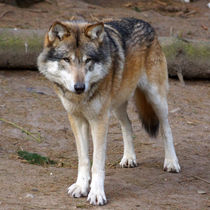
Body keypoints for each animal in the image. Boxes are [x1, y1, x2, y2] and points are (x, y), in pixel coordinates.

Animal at [37, 17, 180, 205]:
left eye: (88, 60)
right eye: (66, 59)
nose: (79, 87)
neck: (81, 98)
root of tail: (145, 23)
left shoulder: (99, 120)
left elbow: (97, 164)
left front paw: (97, 193)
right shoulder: (77, 119)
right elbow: (84, 159)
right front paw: (81, 187)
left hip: (155, 98)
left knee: (166, 127)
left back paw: (171, 162)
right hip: (117, 104)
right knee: (128, 125)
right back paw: (129, 158)